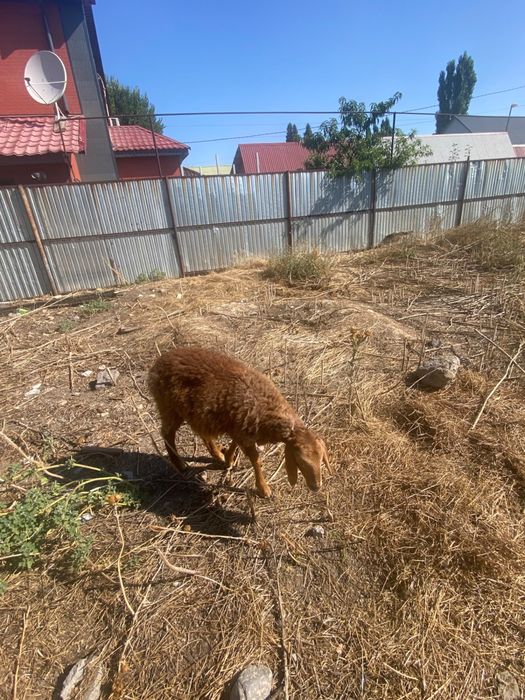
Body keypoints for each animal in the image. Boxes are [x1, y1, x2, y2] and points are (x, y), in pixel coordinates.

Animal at [148, 346, 329, 497]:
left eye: (321, 459)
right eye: (302, 462)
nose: (317, 487)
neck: (266, 407)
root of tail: (157, 364)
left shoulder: (240, 427)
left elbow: (235, 444)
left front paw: (228, 459)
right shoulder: (244, 432)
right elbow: (256, 460)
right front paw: (264, 489)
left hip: (194, 413)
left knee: (203, 433)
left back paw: (218, 454)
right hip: (168, 407)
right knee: (167, 434)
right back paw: (180, 464)